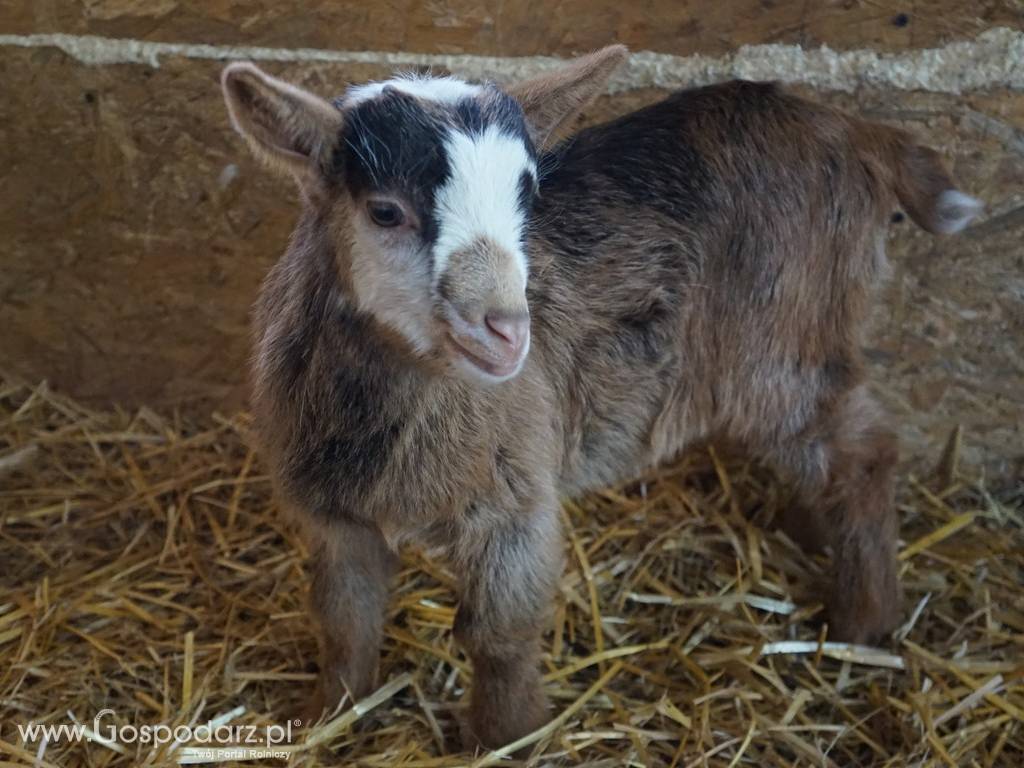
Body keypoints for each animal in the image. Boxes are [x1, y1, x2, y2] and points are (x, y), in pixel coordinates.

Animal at [222, 48, 983, 753]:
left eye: (527, 200)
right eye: (385, 211)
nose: (507, 328)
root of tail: (854, 130)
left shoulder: (515, 500)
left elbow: (498, 630)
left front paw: (508, 738)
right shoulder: (335, 515)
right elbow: (344, 617)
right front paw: (328, 718)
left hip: (783, 349)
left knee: (863, 451)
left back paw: (865, 621)